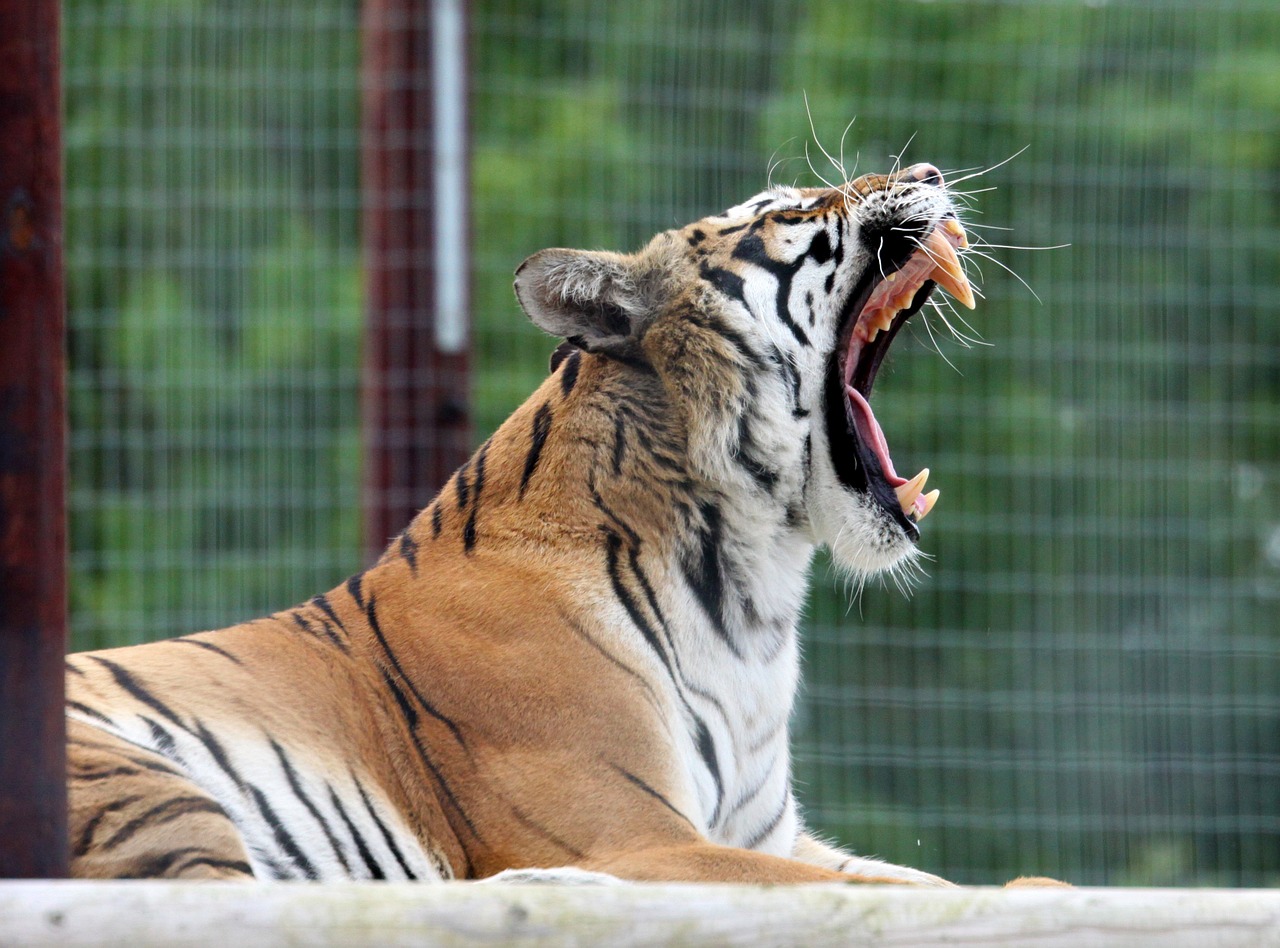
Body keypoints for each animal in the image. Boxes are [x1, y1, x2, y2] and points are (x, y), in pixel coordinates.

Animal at [64, 157, 1054, 885]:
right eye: (791, 209)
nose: (929, 167)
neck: (755, 583)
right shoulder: (643, 836)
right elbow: (889, 896)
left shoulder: (768, 832)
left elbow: (949, 886)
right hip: (154, 792)